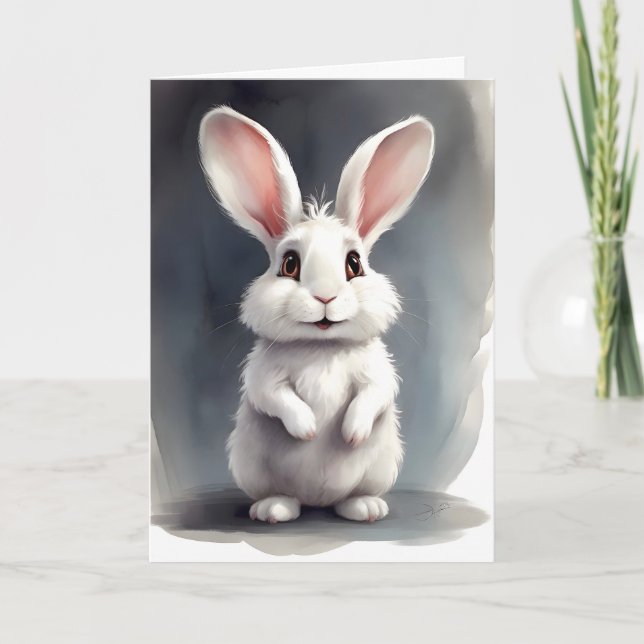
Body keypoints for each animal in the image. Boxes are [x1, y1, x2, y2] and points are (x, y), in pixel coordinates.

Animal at [199, 106, 435, 523]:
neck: (322, 348)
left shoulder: (377, 373)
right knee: (281, 496)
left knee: (353, 497)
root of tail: (318, 501)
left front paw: (352, 433)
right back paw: (273, 510)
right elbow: (276, 397)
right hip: (254, 468)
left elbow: (373, 394)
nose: (326, 296)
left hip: (378, 469)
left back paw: (366, 508)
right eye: (289, 264)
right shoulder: (263, 376)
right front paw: (307, 429)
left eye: (354, 264)